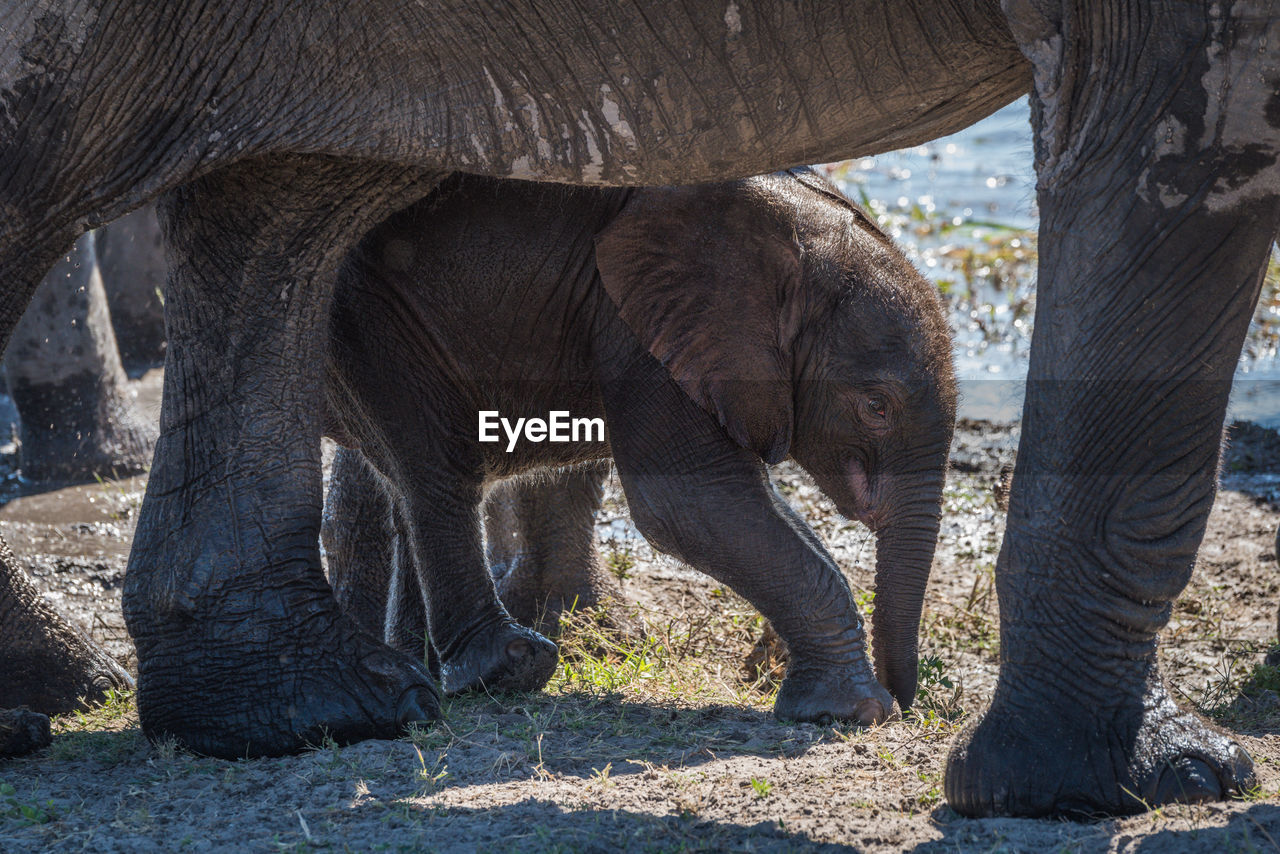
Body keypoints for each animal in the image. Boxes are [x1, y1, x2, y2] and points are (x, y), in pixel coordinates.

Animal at [325, 170, 957, 727]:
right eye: (876, 407)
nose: (906, 700)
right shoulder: (637, 326)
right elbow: (689, 503)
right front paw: (852, 711)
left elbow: (749, 502)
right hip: (368, 309)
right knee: (437, 465)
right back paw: (508, 668)